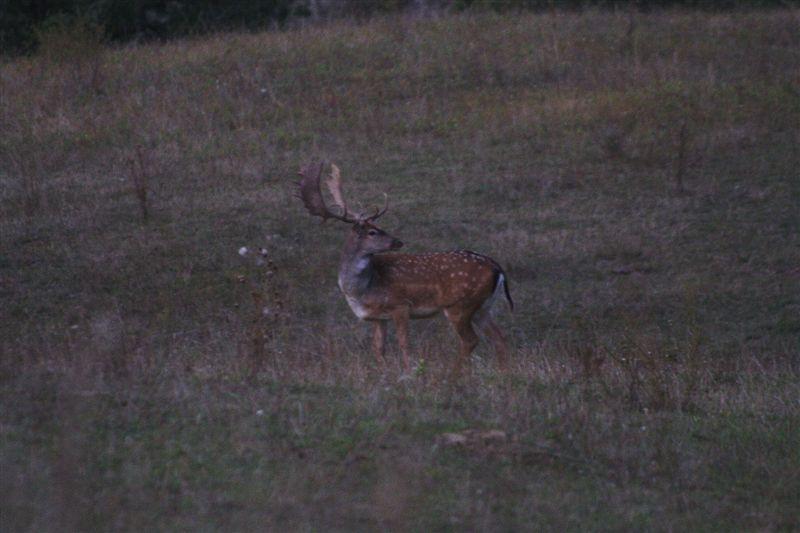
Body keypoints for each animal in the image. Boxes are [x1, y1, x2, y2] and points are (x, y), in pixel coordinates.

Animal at [296, 160, 512, 372]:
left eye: (379, 228)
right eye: (372, 232)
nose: (398, 241)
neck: (362, 289)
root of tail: (497, 268)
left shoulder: (400, 305)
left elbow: (403, 343)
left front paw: (408, 372)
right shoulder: (378, 317)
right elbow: (378, 348)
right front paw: (384, 373)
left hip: (460, 304)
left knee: (470, 340)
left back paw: (453, 374)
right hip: (483, 306)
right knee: (499, 337)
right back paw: (502, 372)